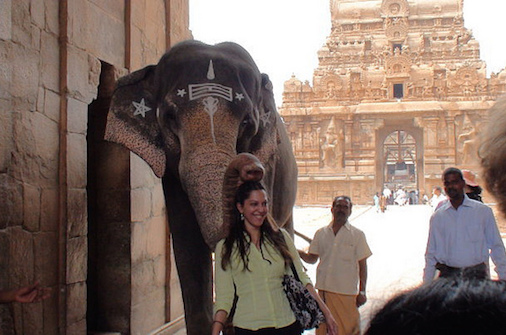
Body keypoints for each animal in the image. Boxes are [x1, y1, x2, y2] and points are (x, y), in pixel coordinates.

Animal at [104, 40, 298, 334]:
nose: (250, 168)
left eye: (247, 123)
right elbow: (189, 247)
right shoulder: (172, 175)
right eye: (170, 117)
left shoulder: (270, 162)